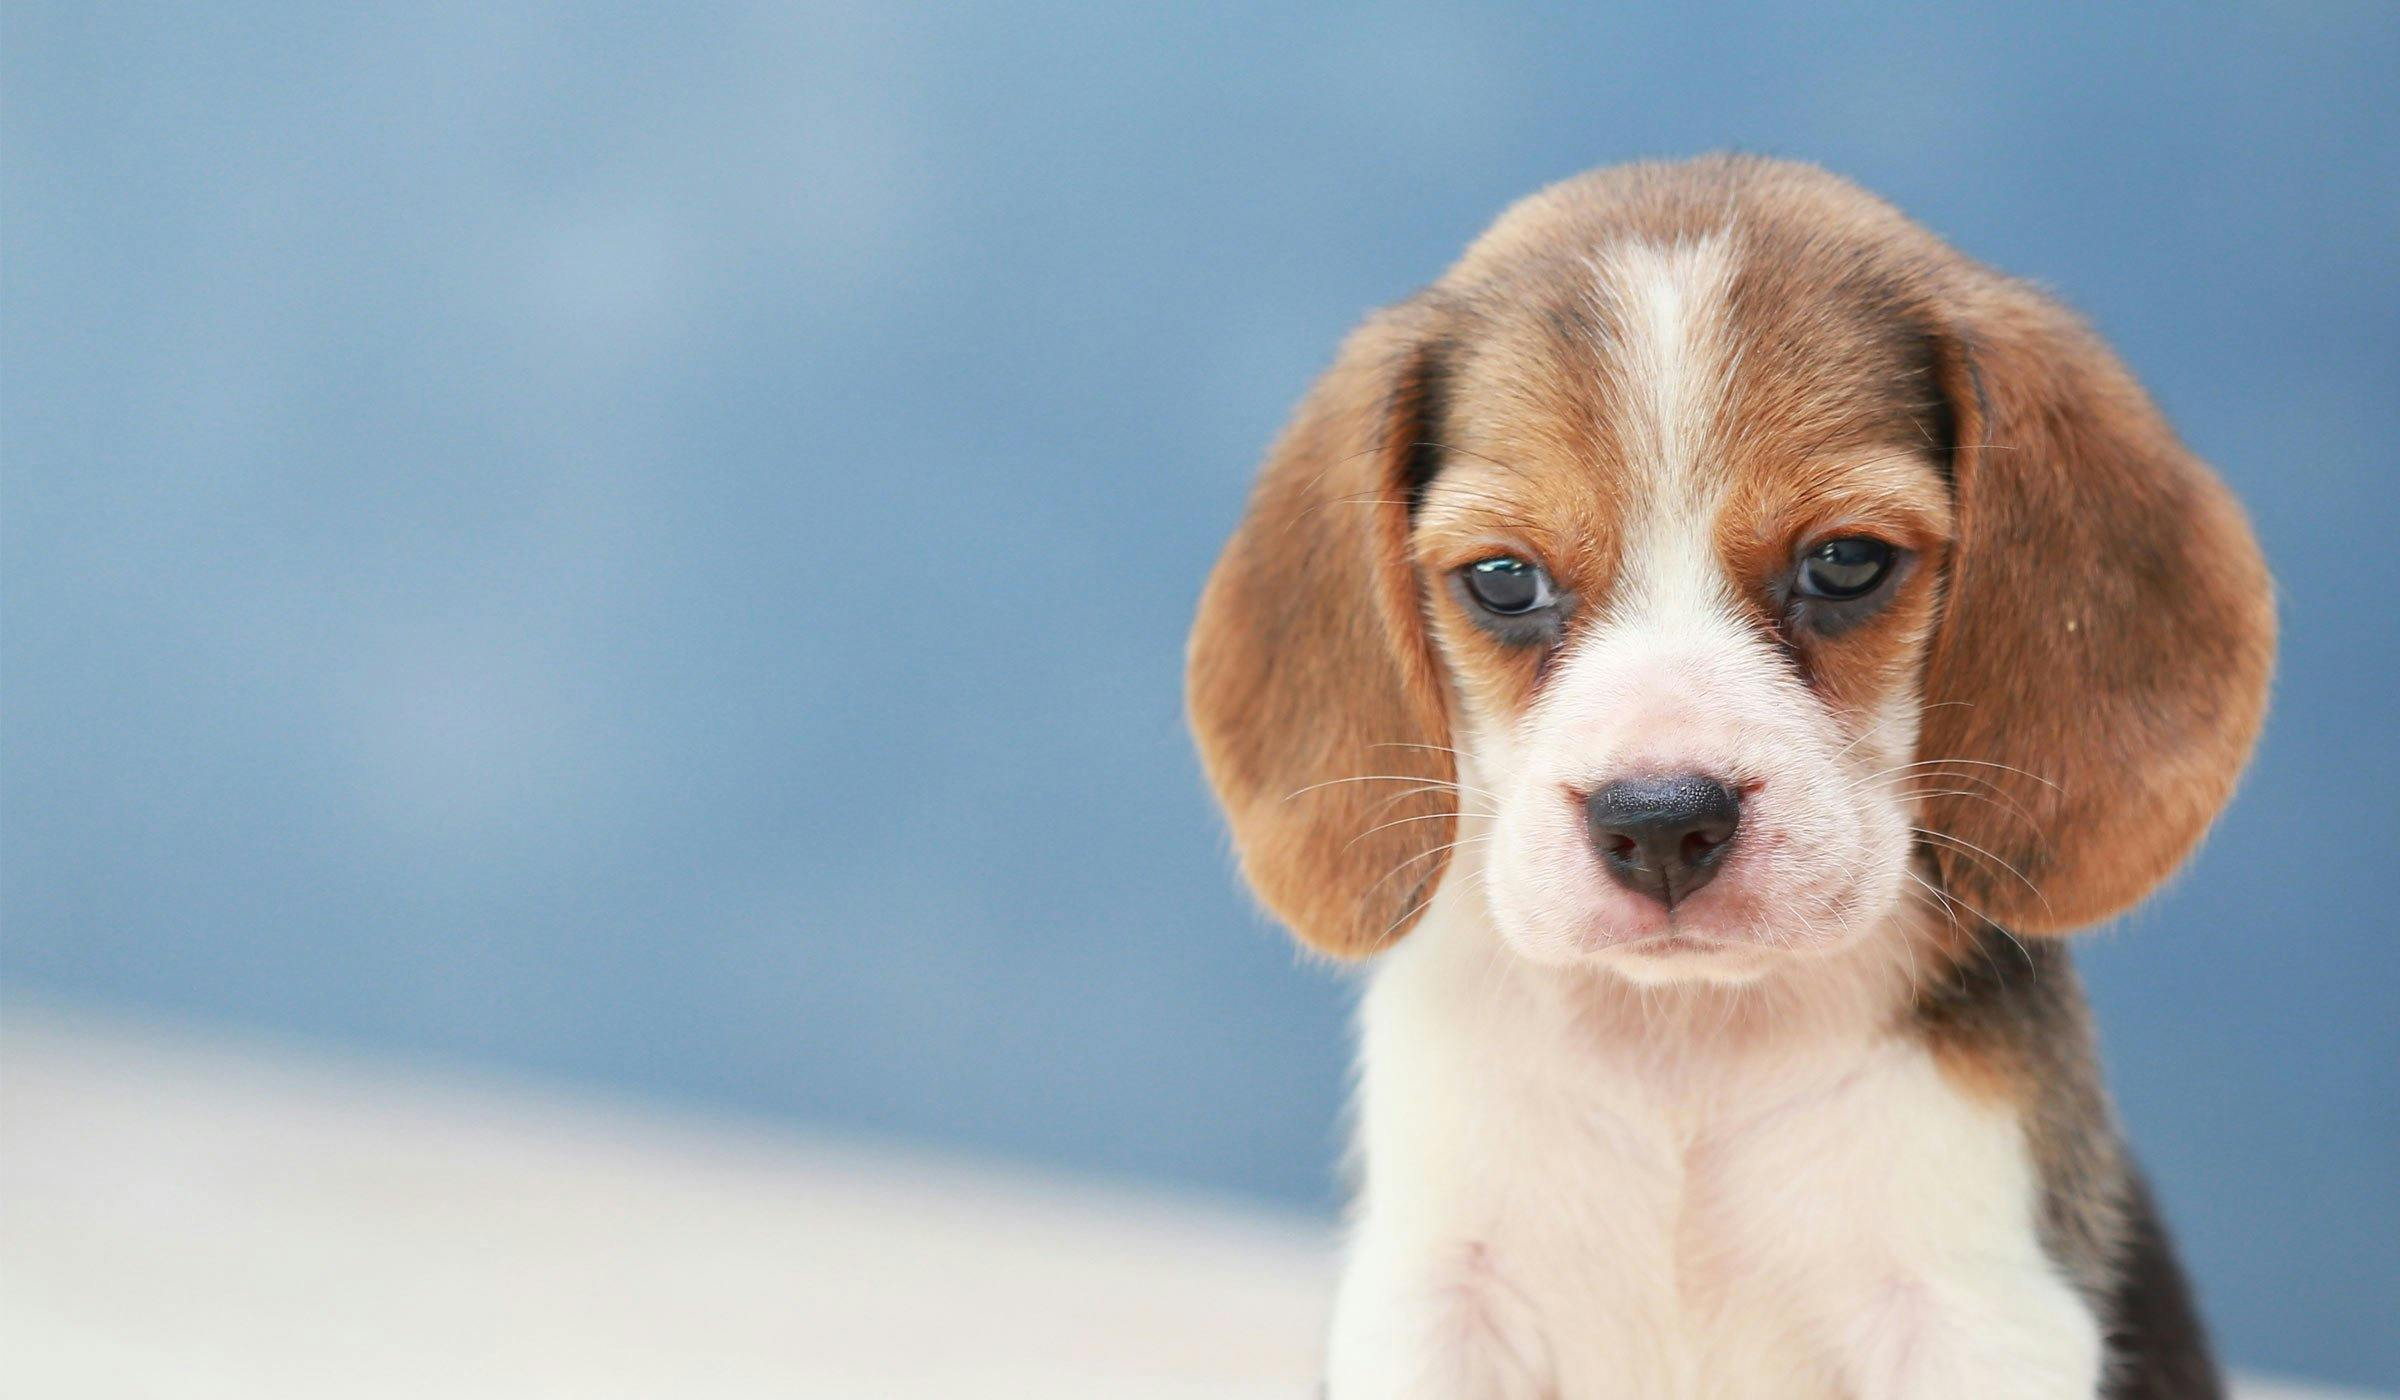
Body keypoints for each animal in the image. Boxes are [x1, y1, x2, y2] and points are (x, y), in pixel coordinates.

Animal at [1190, 158, 2275, 1392]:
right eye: (1504, 580)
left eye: (1846, 563)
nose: (1661, 822)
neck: (1688, 1048)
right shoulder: (1437, 1299)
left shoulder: (1980, 1312)